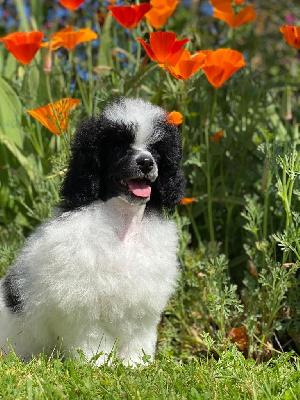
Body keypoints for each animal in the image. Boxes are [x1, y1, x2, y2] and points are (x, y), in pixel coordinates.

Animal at [0, 97, 185, 366]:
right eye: (118, 147)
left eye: (156, 150)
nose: (146, 162)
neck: (122, 225)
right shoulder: (84, 307)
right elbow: (92, 341)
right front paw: (96, 366)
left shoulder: (140, 306)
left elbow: (137, 339)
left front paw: (136, 366)